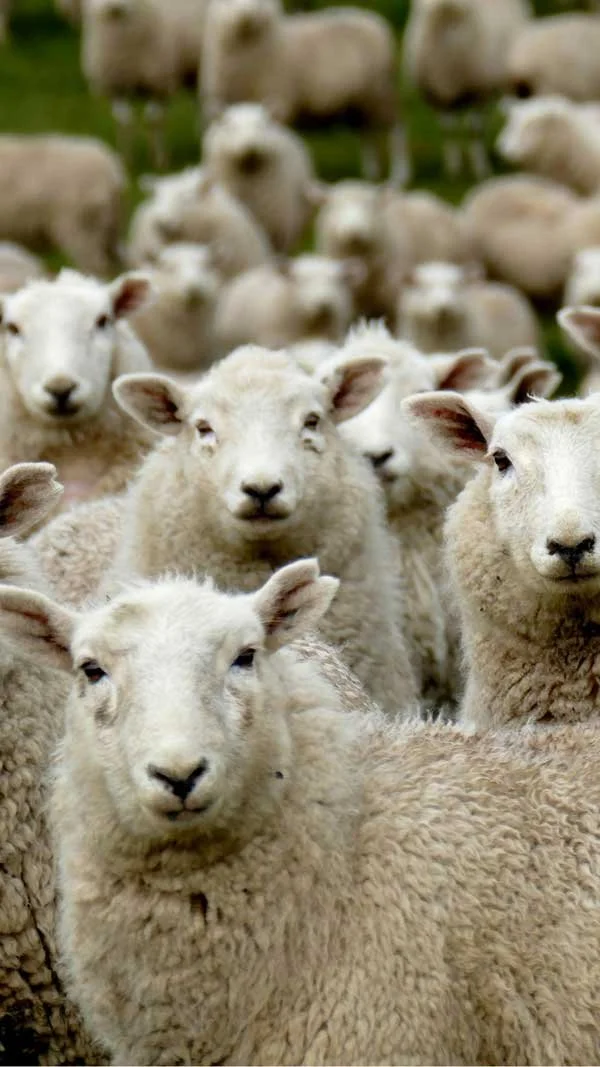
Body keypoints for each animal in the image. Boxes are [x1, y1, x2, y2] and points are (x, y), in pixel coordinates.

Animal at [201, 0, 409, 185]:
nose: (246, 15)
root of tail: (369, 17)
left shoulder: (280, 102)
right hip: (360, 100)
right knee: (367, 132)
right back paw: (371, 172)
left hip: (381, 91)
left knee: (397, 130)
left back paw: (399, 175)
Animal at [404, 0, 531, 178]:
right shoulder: (442, 97)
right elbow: (450, 131)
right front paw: (459, 168)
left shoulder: (476, 93)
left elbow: (471, 131)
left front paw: (474, 168)